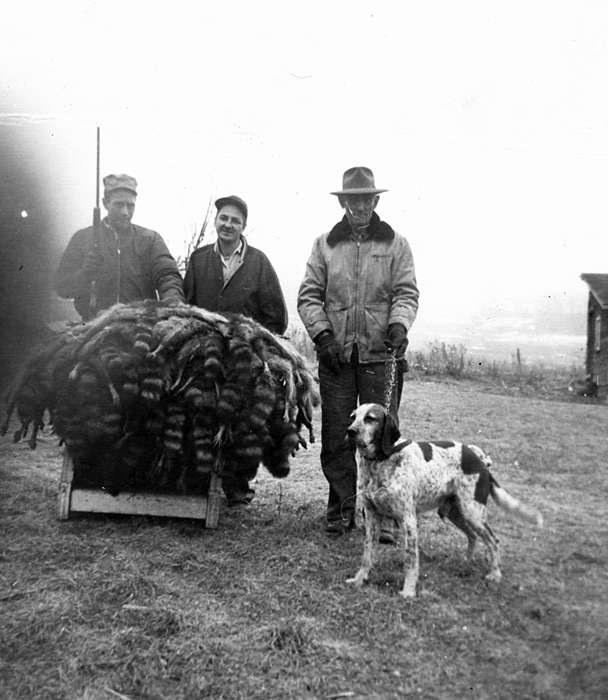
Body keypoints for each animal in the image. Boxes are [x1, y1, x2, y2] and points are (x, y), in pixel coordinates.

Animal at [344, 404, 544, 596]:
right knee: (472, 536)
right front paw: (359, 579)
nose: (350, 431)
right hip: (455, 513)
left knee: (493, 541)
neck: (380, 460)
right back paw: (466, 562)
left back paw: (494, 574)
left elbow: (410, 560)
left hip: (473, 513)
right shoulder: (372, 516)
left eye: (370, 418)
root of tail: (482, 462)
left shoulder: (408, 520)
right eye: (353, 417)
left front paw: (408, 591)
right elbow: (367, 554)